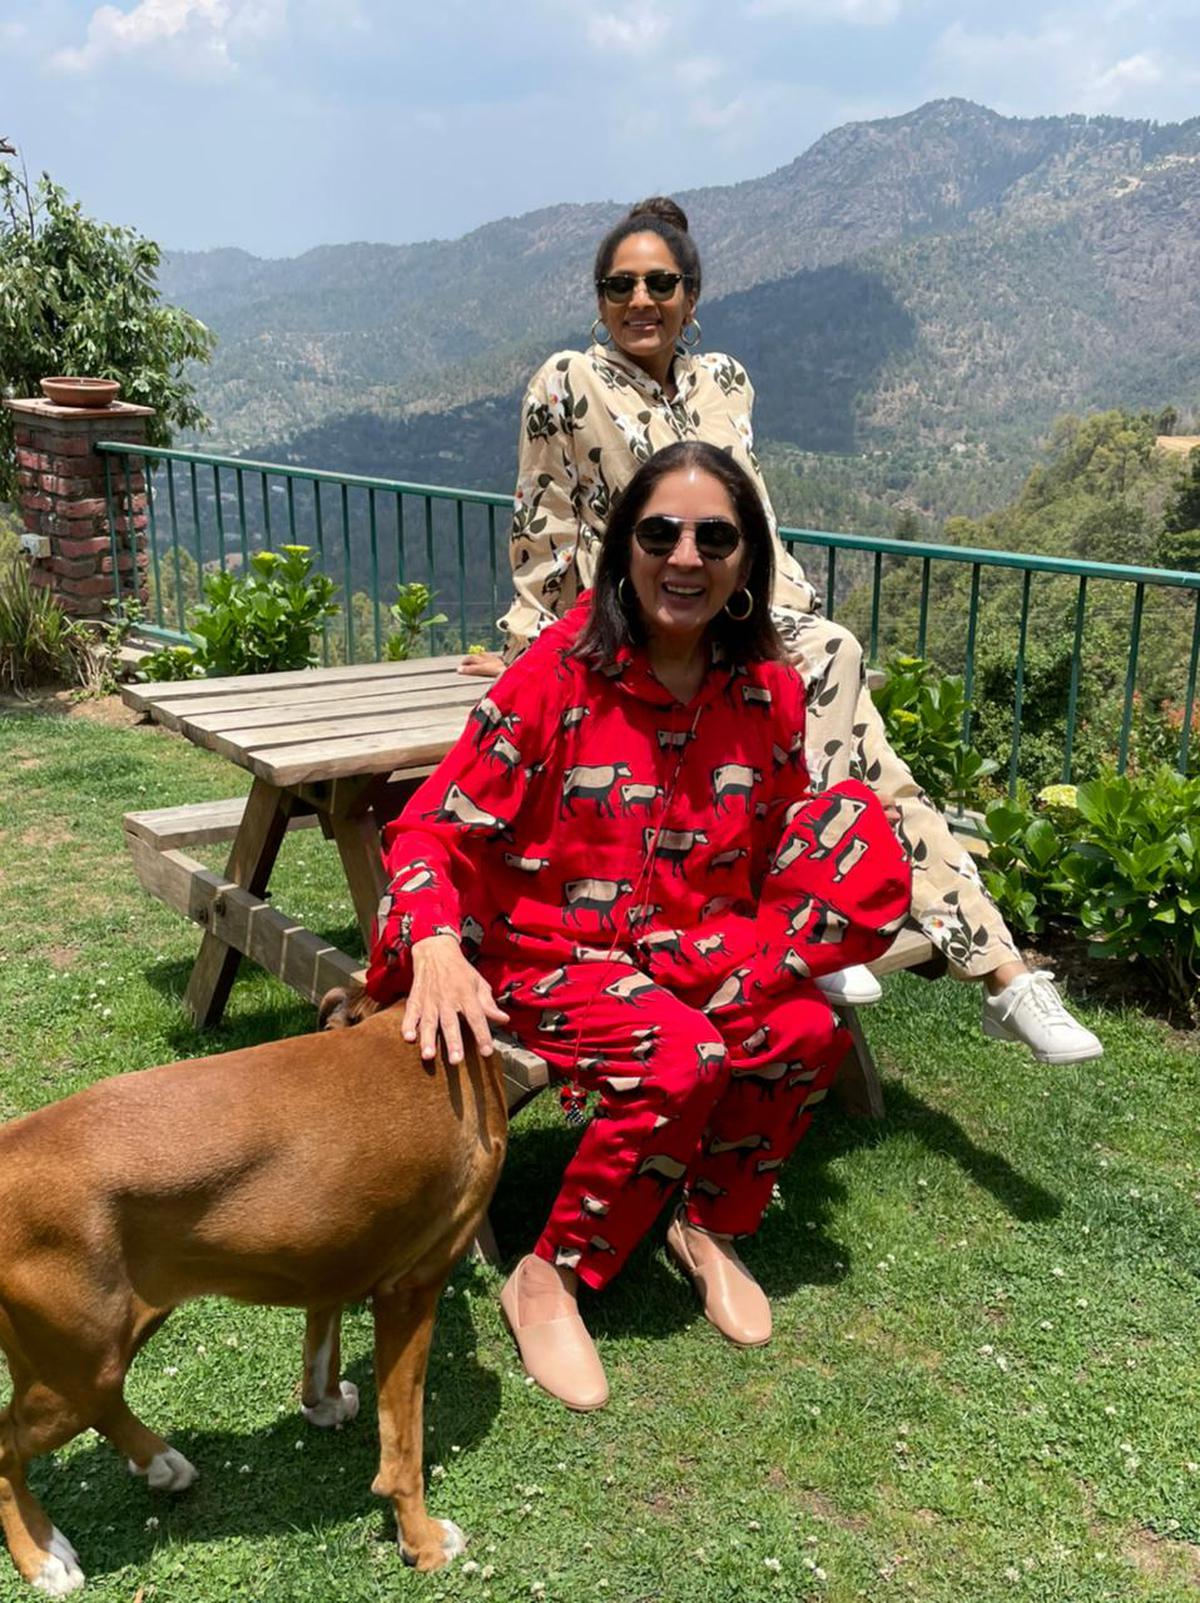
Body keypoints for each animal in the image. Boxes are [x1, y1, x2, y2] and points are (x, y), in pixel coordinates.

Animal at [0, 993, 499, 1596]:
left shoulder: (329, 1262)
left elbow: (321, 1344)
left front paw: (324, 1404)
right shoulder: (412, 1289)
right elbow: (404, 1447)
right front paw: (421, 1540)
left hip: (97, 1353)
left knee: (101, 1403)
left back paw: (159, 1462)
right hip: (73, 1370)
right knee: (5, 1447)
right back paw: (41, 1557)